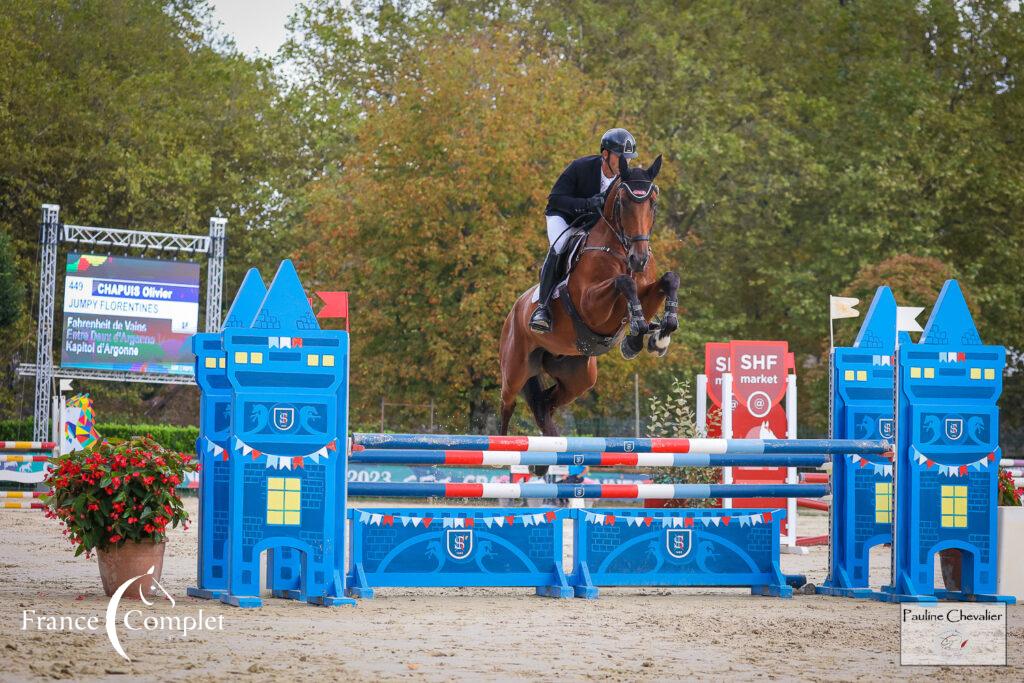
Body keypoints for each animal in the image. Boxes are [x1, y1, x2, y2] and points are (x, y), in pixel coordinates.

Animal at [497, 153, 679, 471]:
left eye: (653, 202)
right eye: (623, 202)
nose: (640, 259)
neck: (621, 250)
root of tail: (514, 311)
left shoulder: (647, 291)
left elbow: (668, 280)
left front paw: (658, 335)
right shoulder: (592, 306)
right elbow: (623, 283)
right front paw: (638, 335)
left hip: (579, 376)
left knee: (545, 405)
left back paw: (547, 457)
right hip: (515, 366)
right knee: (507, 402)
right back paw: (503, 451)